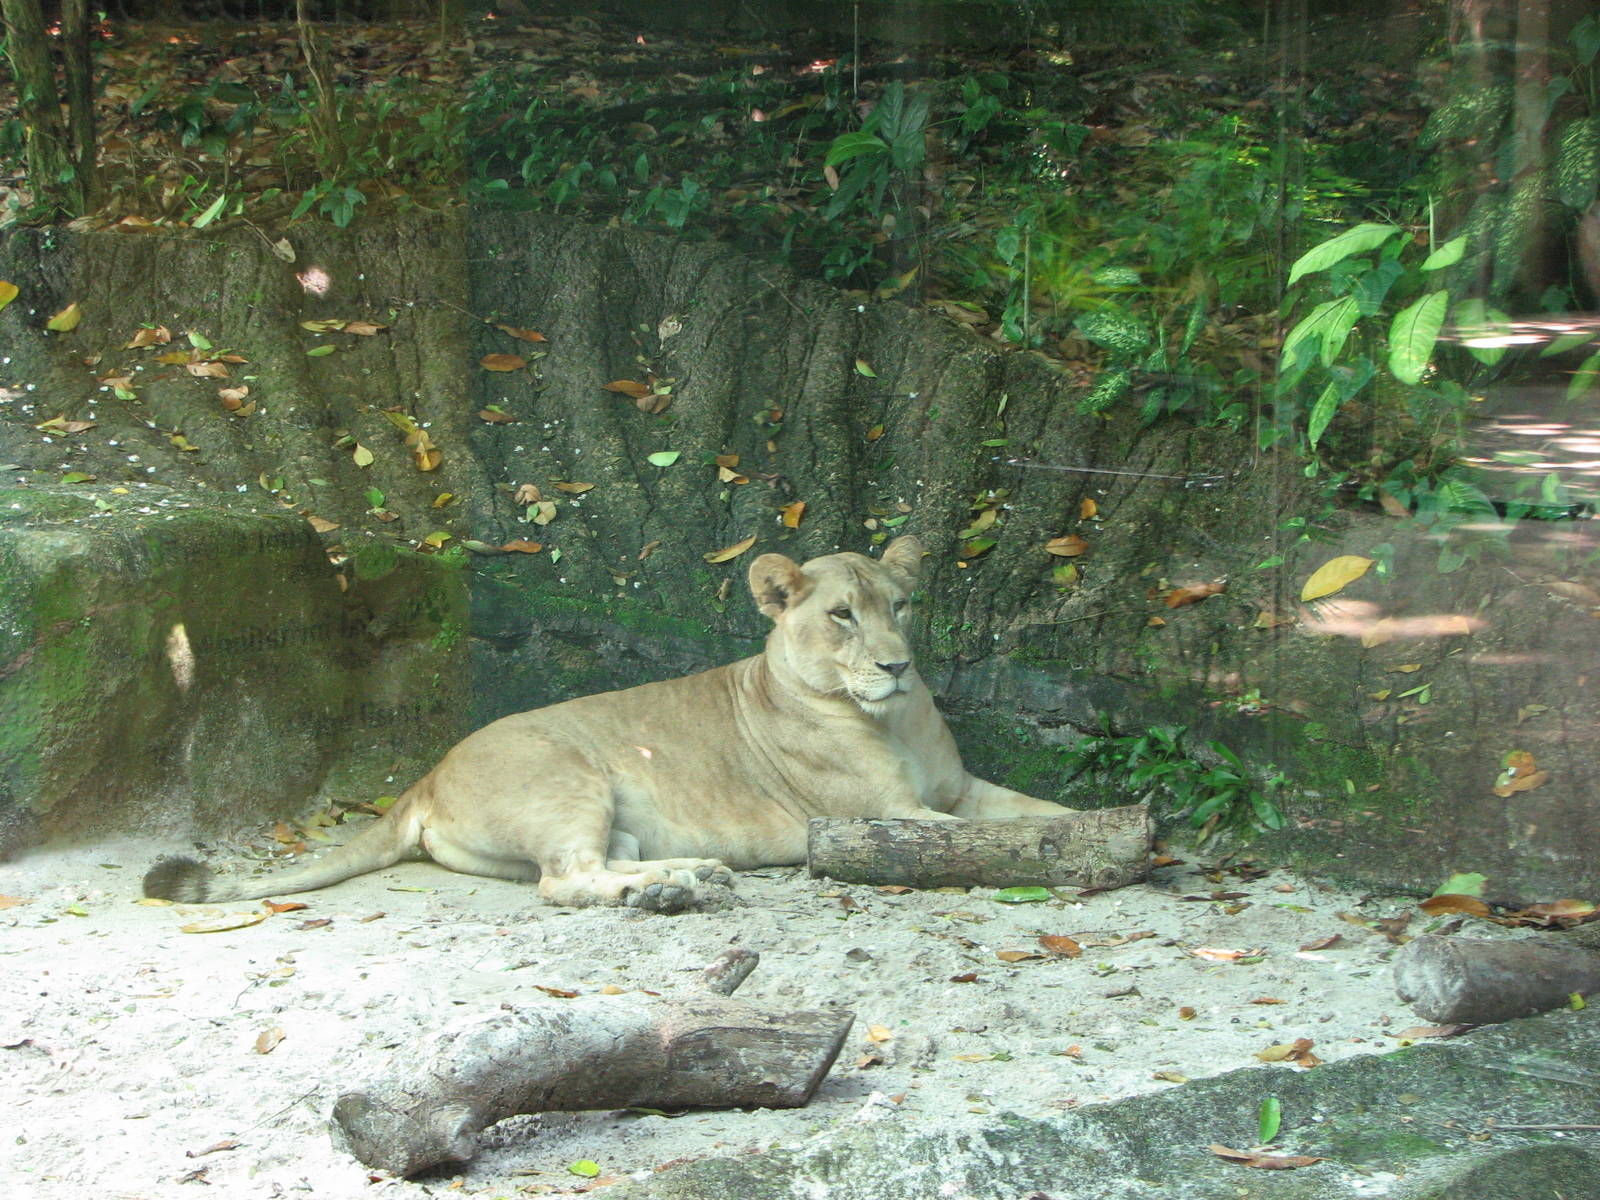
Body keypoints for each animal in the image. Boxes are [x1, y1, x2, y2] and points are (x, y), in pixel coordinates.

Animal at [143, 535, 1074, 913]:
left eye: (901, 607)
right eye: (843, 616)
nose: (896, 666)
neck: (896, 718)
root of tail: (428, 774)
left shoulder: (959, 788)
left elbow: (1045, 812)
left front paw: (1098, 825)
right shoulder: (886, 815)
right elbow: (993, 841)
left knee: (598, 863)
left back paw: (688, 876)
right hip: (568, 777)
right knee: (564, 879)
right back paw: (667, 891)